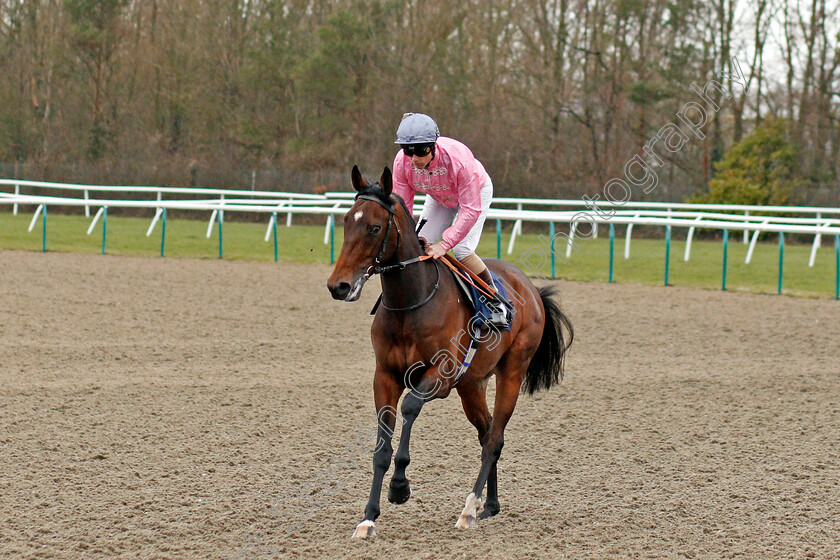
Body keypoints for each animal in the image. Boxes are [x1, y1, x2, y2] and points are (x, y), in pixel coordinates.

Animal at [324, 166, 576, 540]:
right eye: (345, 221)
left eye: (374, 227)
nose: (338, 286)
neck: (411, 303)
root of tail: (531, 288)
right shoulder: (384, 376)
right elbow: (382, 445)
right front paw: (368, 518)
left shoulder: (439, 376)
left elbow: (410, 408)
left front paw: (400, 486)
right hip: (471, 385)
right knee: (486, 433)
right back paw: (489, 505)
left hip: (512, 372)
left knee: (494, 440)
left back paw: (469, 509)